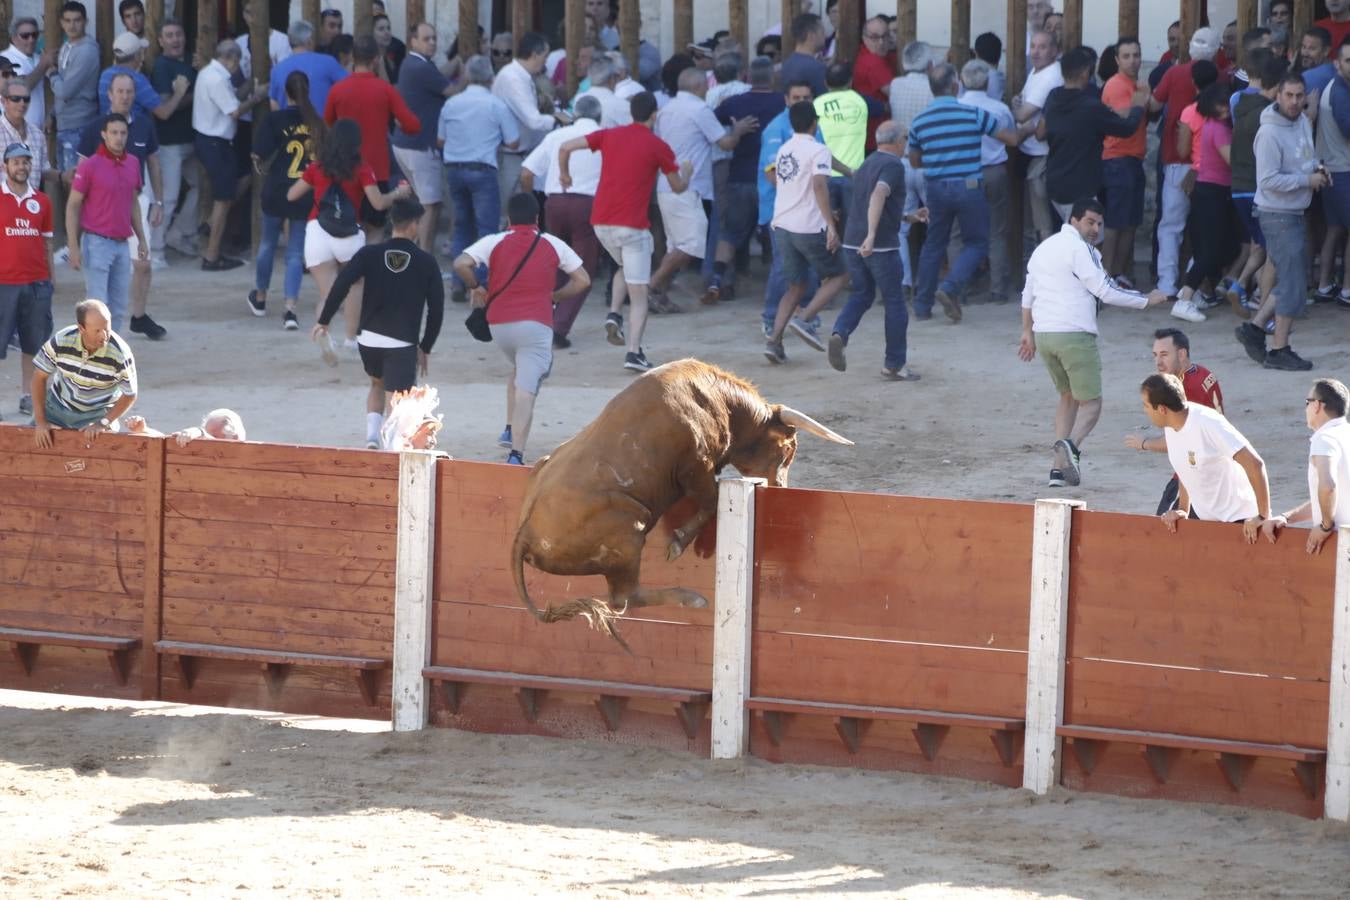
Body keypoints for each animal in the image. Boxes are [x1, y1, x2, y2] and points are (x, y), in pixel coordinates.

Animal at [510, 358, 847, 647]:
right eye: (787, 450)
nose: (780, 488)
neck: (720, 402)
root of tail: (524, 534)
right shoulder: (695, 468)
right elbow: (711, 501)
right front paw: (679, 542)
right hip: (630, 529)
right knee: (623, 598)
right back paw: (692, 598)